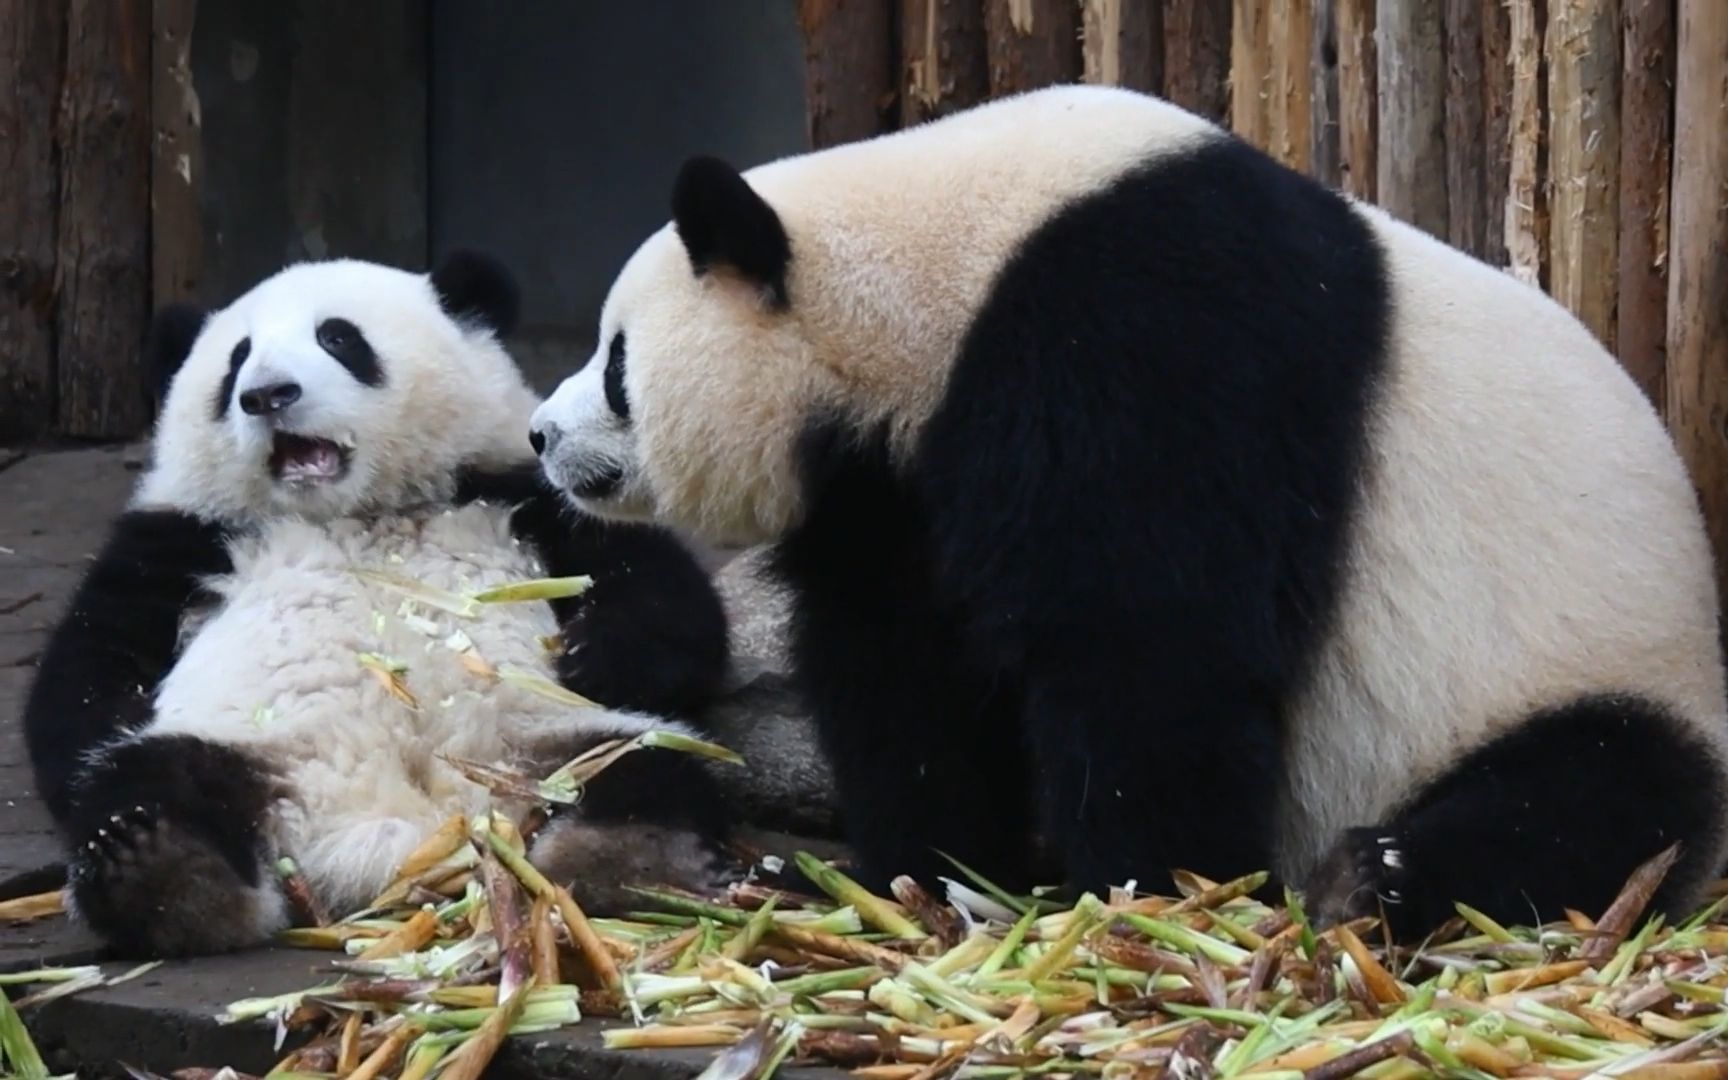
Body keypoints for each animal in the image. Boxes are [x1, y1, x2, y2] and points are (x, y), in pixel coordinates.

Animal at [23, 250, 743, 953]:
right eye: (235, 361)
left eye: (339, 338)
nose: (267, 394)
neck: (360, 508)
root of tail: (387, 838)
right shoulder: (185, 539)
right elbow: (88, 675)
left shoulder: (530, 499)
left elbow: (667, 604)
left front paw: (592, 655)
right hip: (246, 749)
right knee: (149, 779)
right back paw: (161, 867)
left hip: (544, 746)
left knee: (646, 763)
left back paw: (628, 860)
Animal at [532, 88, 1728, 940]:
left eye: (618, 363)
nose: (541, 438)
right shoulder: (897, 479)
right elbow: (905, 663)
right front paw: (930, 870)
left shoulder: (1148, 336)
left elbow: (1149, 644)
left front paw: (1147, 890)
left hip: (1592, 664)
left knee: (1595, 796)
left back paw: (1376, 879)